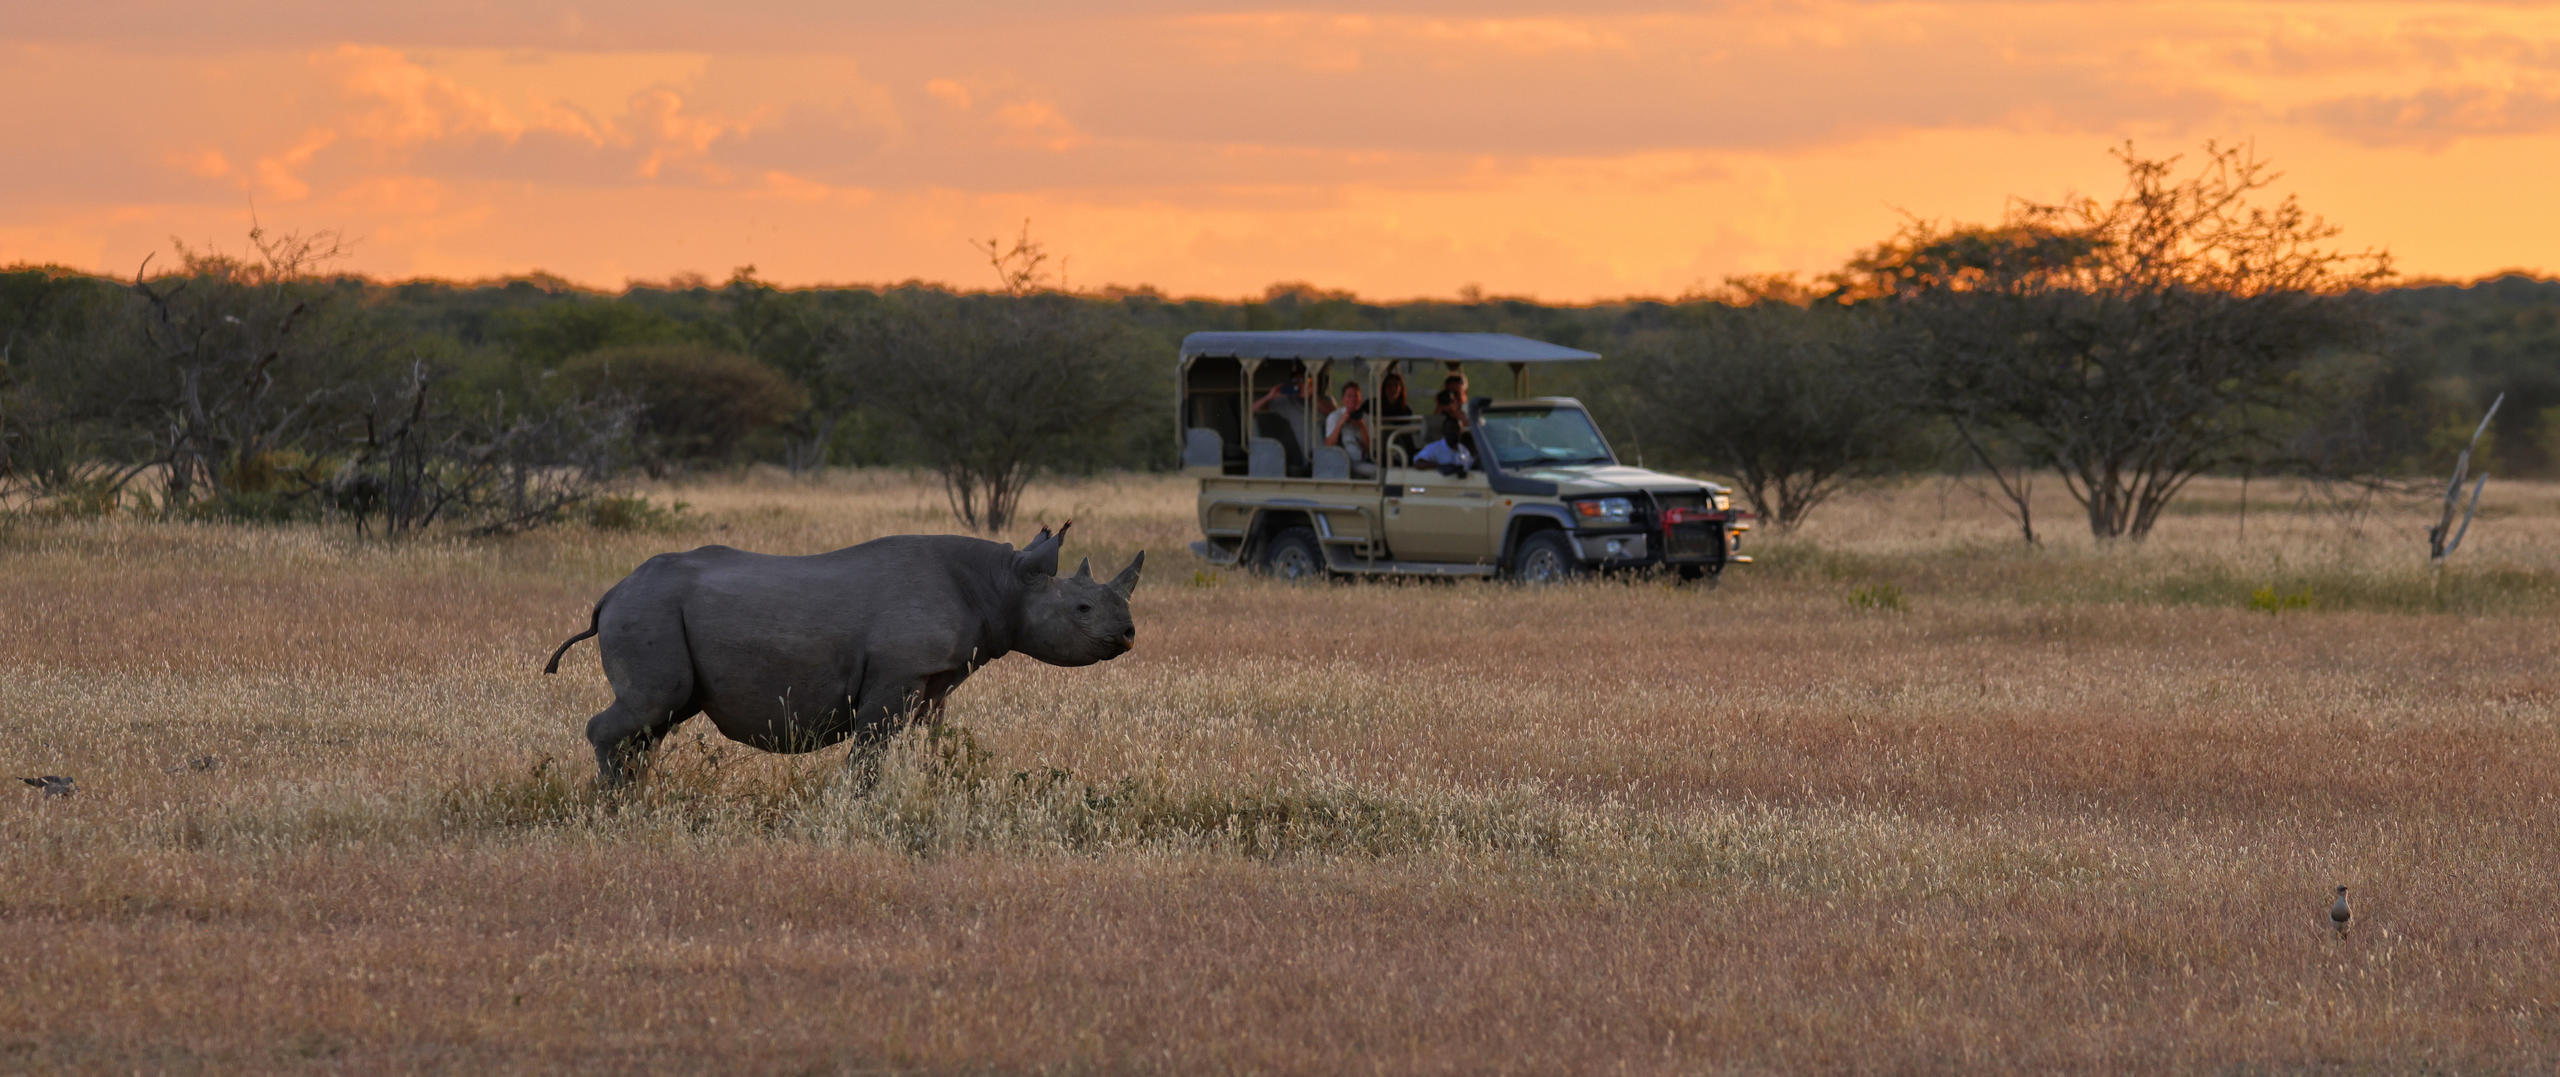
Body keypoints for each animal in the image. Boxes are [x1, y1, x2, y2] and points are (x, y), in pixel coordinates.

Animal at [544, 524, 1141, 785]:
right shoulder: (898, 673)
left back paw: (636, 792)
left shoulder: (935, 677)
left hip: (652, 610)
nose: (1130, 635)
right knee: (651, 705)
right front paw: (856, 804)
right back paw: (614, 800)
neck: (1005, 584)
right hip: (647, 609)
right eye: (1083, 607)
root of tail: (610, 594)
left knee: (659, 718)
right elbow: (870, 749)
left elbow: (926, 740)